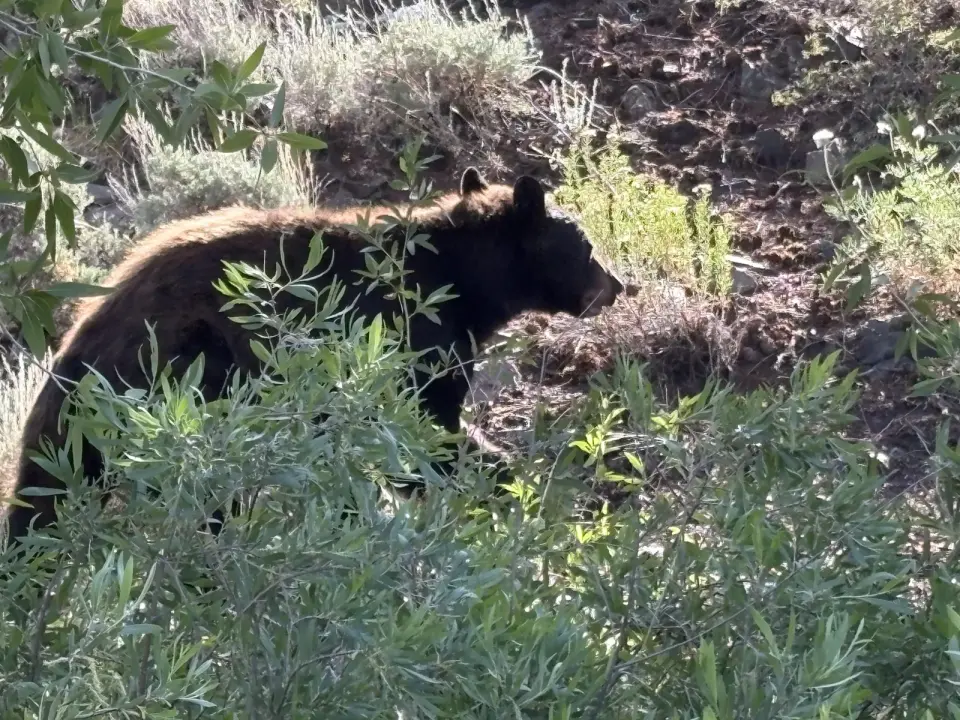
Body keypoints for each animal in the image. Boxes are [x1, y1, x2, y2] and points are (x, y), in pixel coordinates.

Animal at [1, 168, 623, 552]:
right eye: (587, 246)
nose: (618, 285)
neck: (468, 280)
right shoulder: (410, 330)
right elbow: (424, 429)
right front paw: (498, 483)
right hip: (183, 373)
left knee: (43, 495)